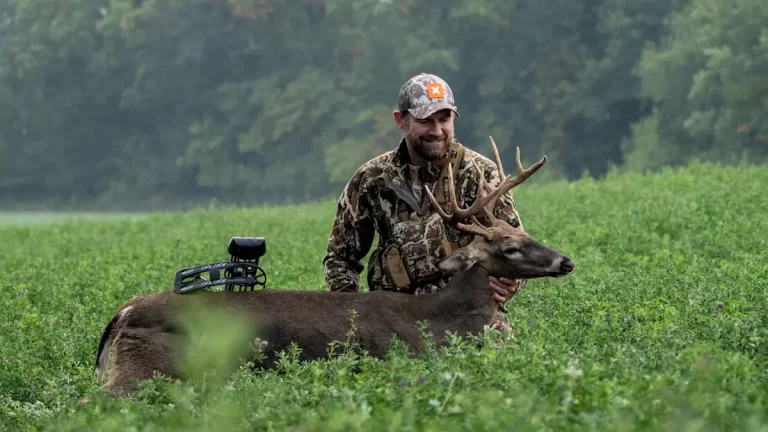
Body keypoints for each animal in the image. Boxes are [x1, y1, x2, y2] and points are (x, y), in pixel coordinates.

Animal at [93, 138, 575, 395]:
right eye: (510, 248)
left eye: (525, 234)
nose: (565, 260)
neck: (445, 320)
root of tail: (121, 315)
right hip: (145, 372)